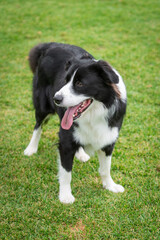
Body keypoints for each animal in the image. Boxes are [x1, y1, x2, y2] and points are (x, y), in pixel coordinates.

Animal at [23, 42, 127, 203]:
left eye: (79, 83)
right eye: (65, 81)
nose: (56, 98)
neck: (93, 114)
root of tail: (51, 44)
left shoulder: (108, 138)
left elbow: (105, 169)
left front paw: (110, 186)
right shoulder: (65, 141)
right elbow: (66, 172)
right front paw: (65, 196)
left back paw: (81, 154)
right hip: (42, 105)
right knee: (38, 126)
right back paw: (31, 148)